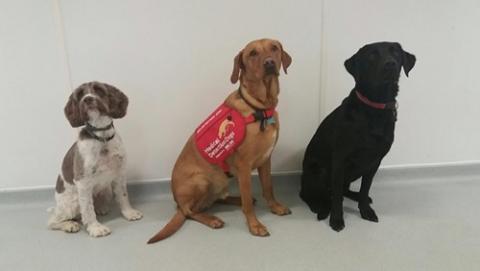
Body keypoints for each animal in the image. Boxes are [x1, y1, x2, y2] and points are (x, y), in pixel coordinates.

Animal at [47, 82, 143, 238]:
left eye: (98, 89)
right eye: (80, 94)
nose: (88, 99)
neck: (102, 137)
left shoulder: (120, 173)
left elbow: (123, 196)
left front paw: (129, 213)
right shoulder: (83, 181)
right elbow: (87, 209)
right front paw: (95, 228)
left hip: (105, 190)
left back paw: (101, 208)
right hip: (72, 203)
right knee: (52, 221)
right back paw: (69, 225)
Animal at [148, 38, 292, 244]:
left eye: (274, 48)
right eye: (253, 53)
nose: (270, 63)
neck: (260, 107)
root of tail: (177, 202)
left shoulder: (266, 160)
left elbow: (268, 187)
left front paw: (275, 206)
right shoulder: (244, 166)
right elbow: (248, 202)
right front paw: (254, 225)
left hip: (220, 182)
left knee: (217, 199)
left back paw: (234, 199)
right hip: (201, 181)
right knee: (190, 211)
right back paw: (211, 219)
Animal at [300, 42, 416, 232]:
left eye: (396, 53)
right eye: (372, 55)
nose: (390, 64)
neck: (375, 108)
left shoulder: (374, 162)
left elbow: (365, 189)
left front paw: (365, 210)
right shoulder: (340, 159)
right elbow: (337, 196)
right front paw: (336, 219)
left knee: (343, 191)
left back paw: (353, 196)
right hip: (319, 171)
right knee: (314, 195)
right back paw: (321, 207)